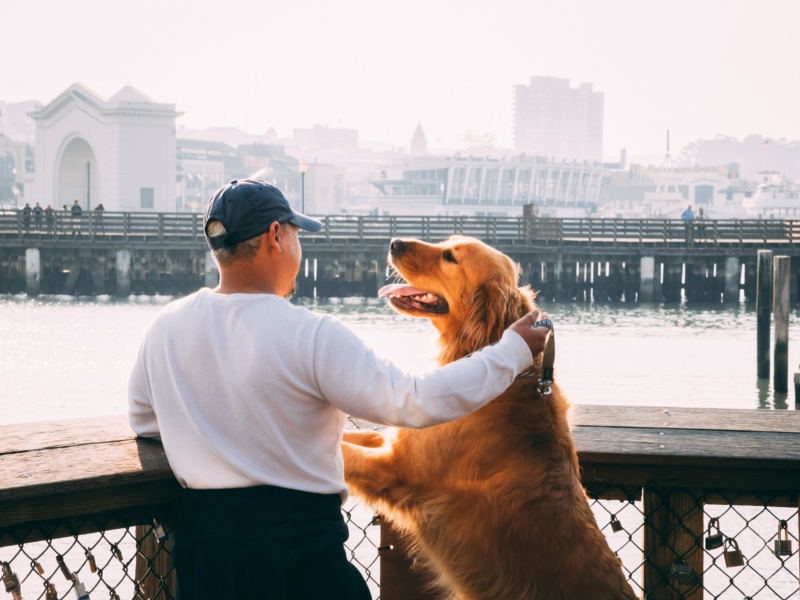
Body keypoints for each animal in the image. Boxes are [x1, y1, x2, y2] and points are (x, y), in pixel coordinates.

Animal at [344, 236, 636, 600]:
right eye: (446, 242)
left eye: (450, 257)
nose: (394, 242)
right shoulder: (396, 442)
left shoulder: (396, 469)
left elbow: (343, 453)